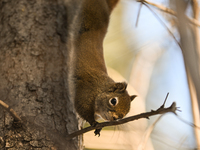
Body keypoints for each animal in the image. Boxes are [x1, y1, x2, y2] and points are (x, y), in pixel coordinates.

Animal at [69, 0, 137, 136]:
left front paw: (98, 128)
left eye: (125, 113)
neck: (100, 88)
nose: (116, 118)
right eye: (113, 101)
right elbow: (82, 109)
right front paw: (93, 123)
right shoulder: (85, 93)